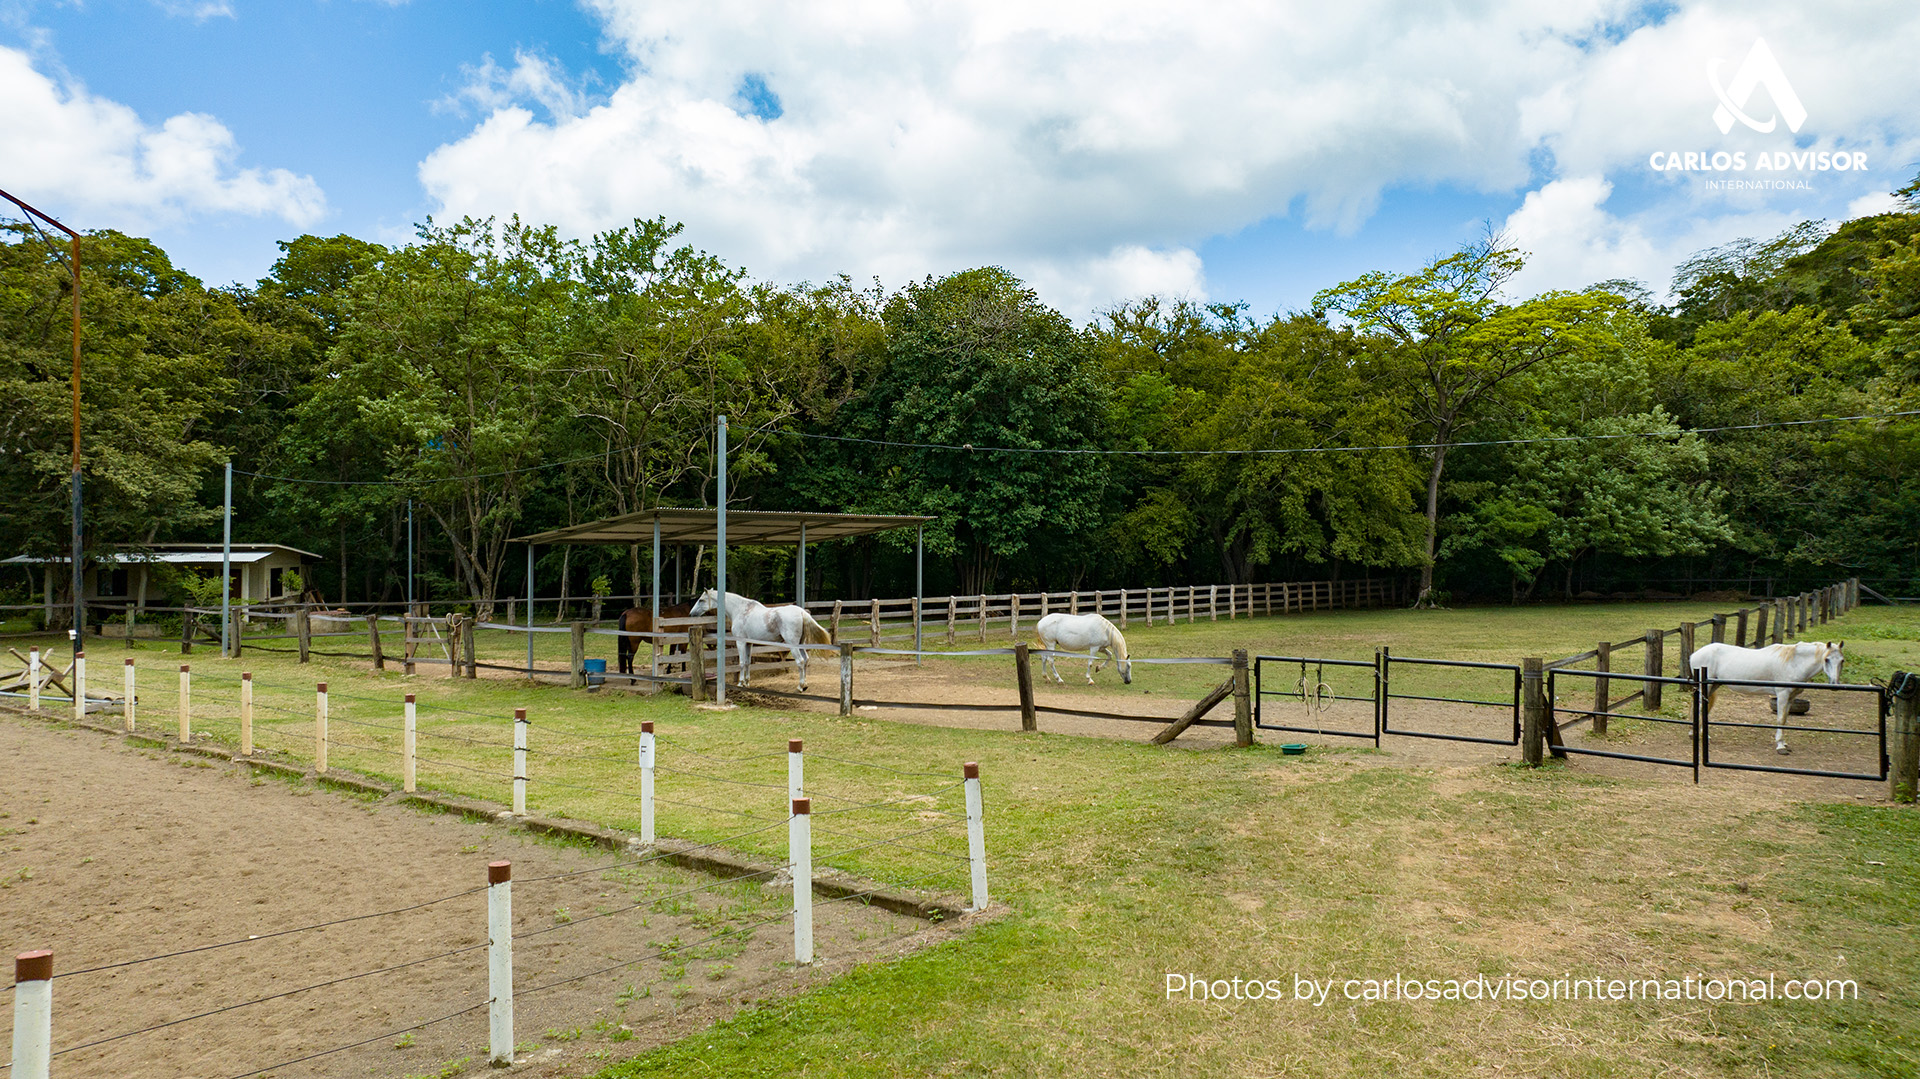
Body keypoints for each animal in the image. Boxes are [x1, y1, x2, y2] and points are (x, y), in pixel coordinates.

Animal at [688, 589, 833, 691]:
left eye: (701, 600)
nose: (691, 614)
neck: (740, 610)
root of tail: (802, 612)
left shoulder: (740, 642)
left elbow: (741, 662)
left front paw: (740, 683)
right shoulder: (749, 643)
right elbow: (748, 662)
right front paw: (747, 682)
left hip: (793, 645)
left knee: (800, 661)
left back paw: (800, 687)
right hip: (800, 644)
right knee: (806, 660)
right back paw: (805, 685)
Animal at [1689, 640, 1845, 755]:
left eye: (1842, 660)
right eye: (1827, 659)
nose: (1835, 685)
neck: (1793, 662)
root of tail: (1694, 655)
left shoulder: (1791, 698)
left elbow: (1785, 719)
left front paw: (1783, 743)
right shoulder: (1782, 695)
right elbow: (1780, 719)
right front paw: (1780, 747)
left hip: (1713, 686)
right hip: (1707, 687)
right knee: (1699, 707)